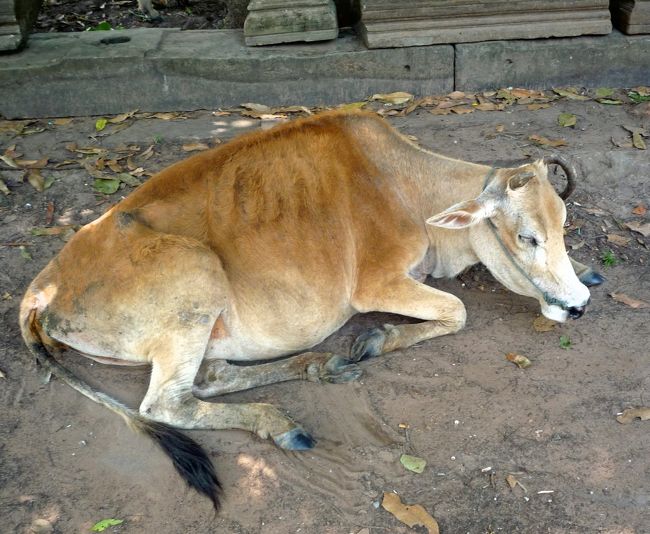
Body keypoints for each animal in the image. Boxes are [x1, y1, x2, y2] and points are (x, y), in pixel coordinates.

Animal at [20, 110, 604, 510]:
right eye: (527, 237)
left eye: (563, 226)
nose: (577, 306)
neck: (408, 189)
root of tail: (41, 290)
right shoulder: (376, 284)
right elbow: (458, 311)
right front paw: (376, 340)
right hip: (195, 276)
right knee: (166, 403)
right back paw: (280, 419)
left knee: (211, 378)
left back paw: (318, 365)